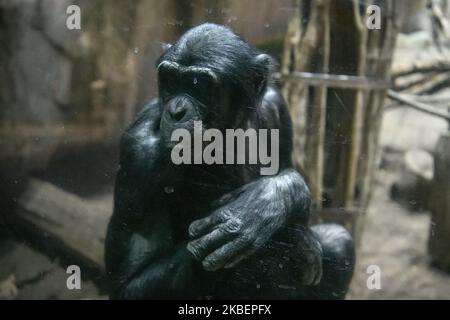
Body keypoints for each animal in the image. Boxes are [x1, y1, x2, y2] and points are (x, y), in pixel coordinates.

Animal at [105, 23, 356, 300]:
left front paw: (268, 203)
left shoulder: (276, 105)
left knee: (339, 240)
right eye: (171, 81)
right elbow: (129, 283)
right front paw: (255, 219)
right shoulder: (138, 155)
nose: (176, 111)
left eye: (199, 85)